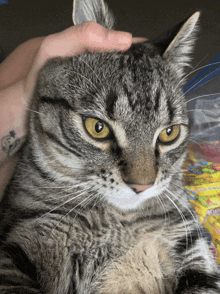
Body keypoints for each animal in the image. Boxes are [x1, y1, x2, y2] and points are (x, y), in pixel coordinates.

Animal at [0, 0, 220, 292]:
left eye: (169, 133)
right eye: (98, 127)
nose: (141, 186)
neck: (119, 220)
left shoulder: (191, 244)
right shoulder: (17, 245)